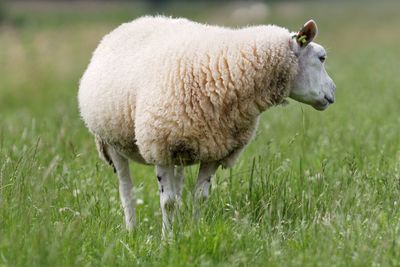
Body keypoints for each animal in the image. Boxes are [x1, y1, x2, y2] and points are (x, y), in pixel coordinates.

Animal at [77, 15, 334, 236]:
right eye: (321, 58)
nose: (333, 92)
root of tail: (127, 24)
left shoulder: (216, 149)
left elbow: (199, 197)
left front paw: (193, 232)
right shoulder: (159, 145)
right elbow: (167, 202)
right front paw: (168, 241)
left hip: (181, 148)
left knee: (177, 187)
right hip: (110, 144)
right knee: (126, 191)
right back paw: (131, 231)